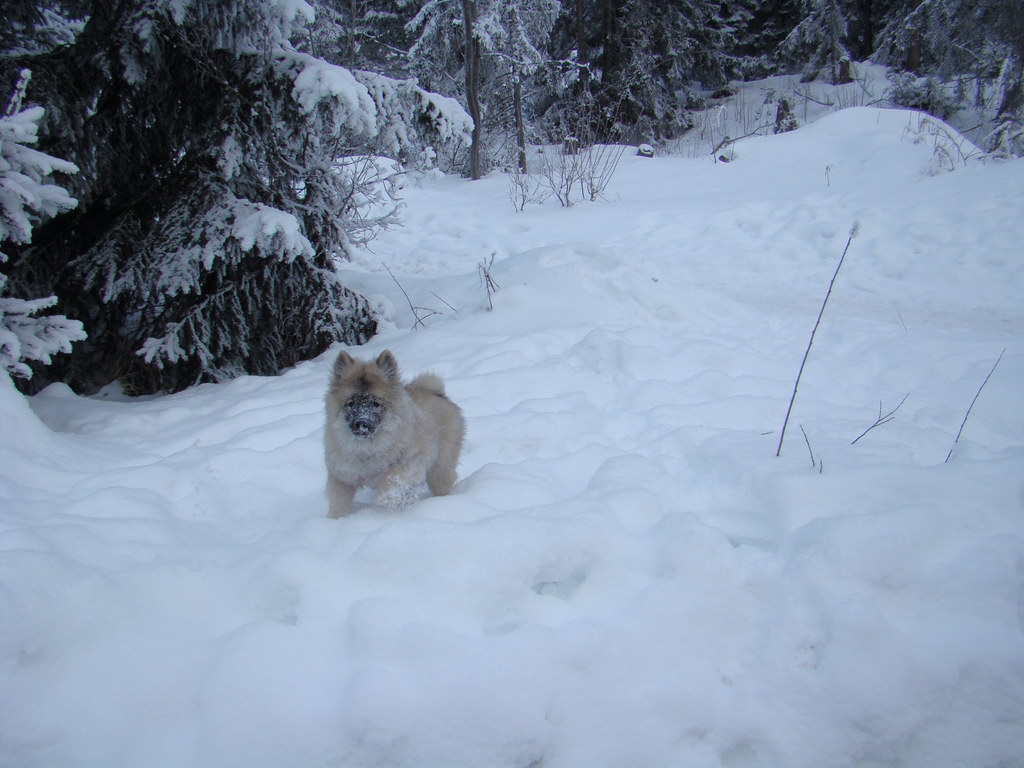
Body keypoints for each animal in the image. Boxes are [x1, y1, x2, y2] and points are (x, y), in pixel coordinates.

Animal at [323, 352, 464, 520]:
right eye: (351, 403)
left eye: (375, 404)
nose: (361, 422)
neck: (367, 448)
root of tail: (438, 393)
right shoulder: (342, 478)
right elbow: (338, 502)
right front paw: (336, 520)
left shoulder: (410, 463)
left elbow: (390, 485)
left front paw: (388, 506)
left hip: (439, 468)